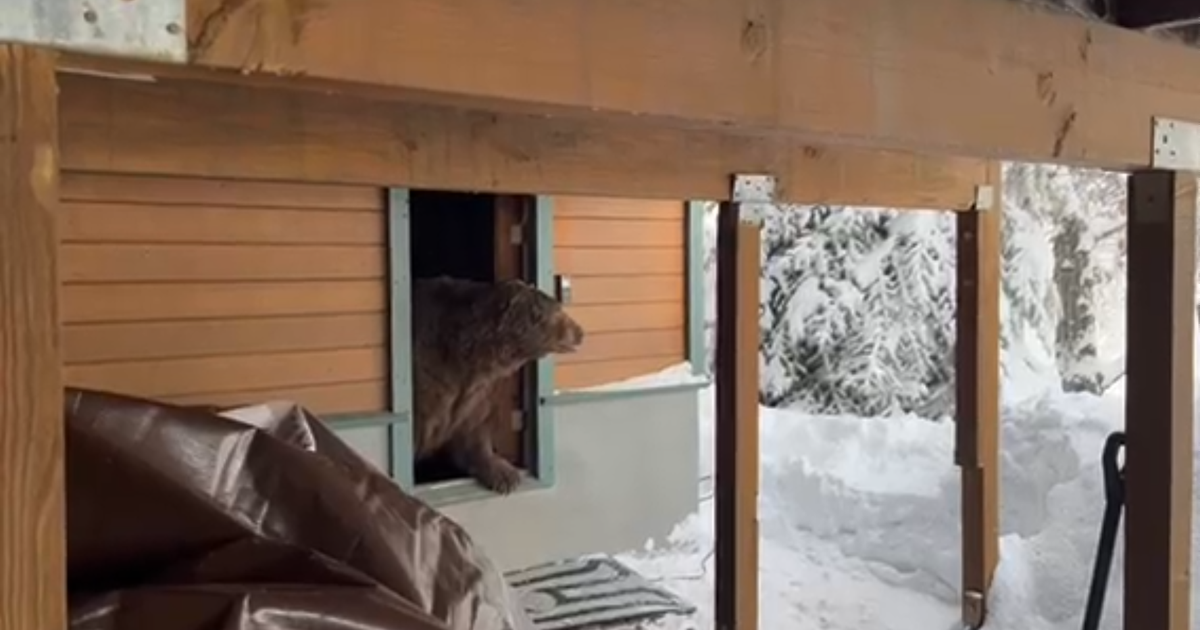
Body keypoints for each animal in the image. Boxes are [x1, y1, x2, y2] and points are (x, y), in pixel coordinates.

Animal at [411, 275, 584, 494]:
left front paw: (504, 474)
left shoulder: (475, 392)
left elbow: (474, 428)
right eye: (557, 312)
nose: (580, 332)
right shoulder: (430, 378)